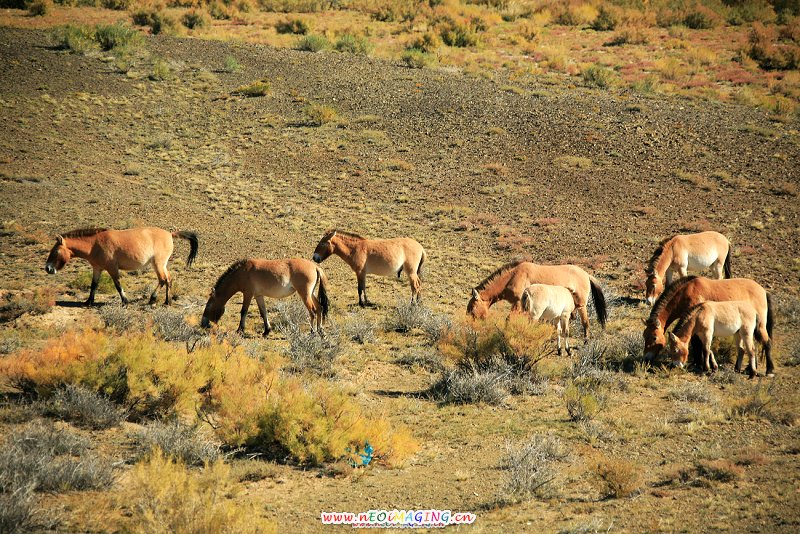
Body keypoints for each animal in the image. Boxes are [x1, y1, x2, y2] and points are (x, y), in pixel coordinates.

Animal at [44, 227, 198, 306]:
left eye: (55, 251)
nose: (48, 268)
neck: (95, 244)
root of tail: (170, 234)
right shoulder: (97, 268)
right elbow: (94, 285)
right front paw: (88, 301)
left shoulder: (112, 268)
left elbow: (117, 285)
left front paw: (125, 301)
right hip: (162, 264)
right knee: (169, 280)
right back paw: (167, 302)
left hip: (158, 264)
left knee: (162, 280)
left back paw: (152, 299)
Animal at [200, 258, 329, 336]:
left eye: (209, 305)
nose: (203, 324)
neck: (242, 271)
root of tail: (315, 266)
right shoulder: (258, 295)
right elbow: (263, 312)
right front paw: (266, 331)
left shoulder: (248, 294)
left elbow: (243, 311)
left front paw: (240, 330)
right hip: (311, 293)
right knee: (319, 308)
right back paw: (321, 331)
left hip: (305, 294)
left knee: (312, 311)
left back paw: (312, 332)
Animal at [466, 259, 607, 341]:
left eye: (472, 307)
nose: (471, 326)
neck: (514, 276)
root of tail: (586, 274)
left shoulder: (517, 304)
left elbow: (509, 319)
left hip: (581, 305)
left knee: (585, 322)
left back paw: (586, 340)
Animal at [643, 276, 774, 376]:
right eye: (644, 336)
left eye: (654, 337)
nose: (646, 358)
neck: (687, 293)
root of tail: (763, 291)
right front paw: (706, 365)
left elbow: (698, 345)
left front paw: (699, 364)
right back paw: (747, 369)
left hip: (759, 327)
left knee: (766, 343)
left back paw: (769, 370)